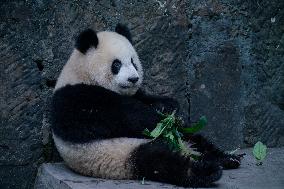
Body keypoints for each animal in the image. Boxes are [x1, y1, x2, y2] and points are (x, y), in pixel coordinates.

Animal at [51, 24, 242, 188]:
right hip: (120, 152)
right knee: (158, 161)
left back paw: (227, 158)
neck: (83, 74)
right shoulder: (73, 98)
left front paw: (169, 109)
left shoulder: (135, 94)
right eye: (116, 64)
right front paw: (156, 119)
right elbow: (115, 116)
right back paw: (207, 171)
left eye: (133, 62)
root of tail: (185, 150)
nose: (133, 79)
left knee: (194, 138)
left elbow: (148, 99)